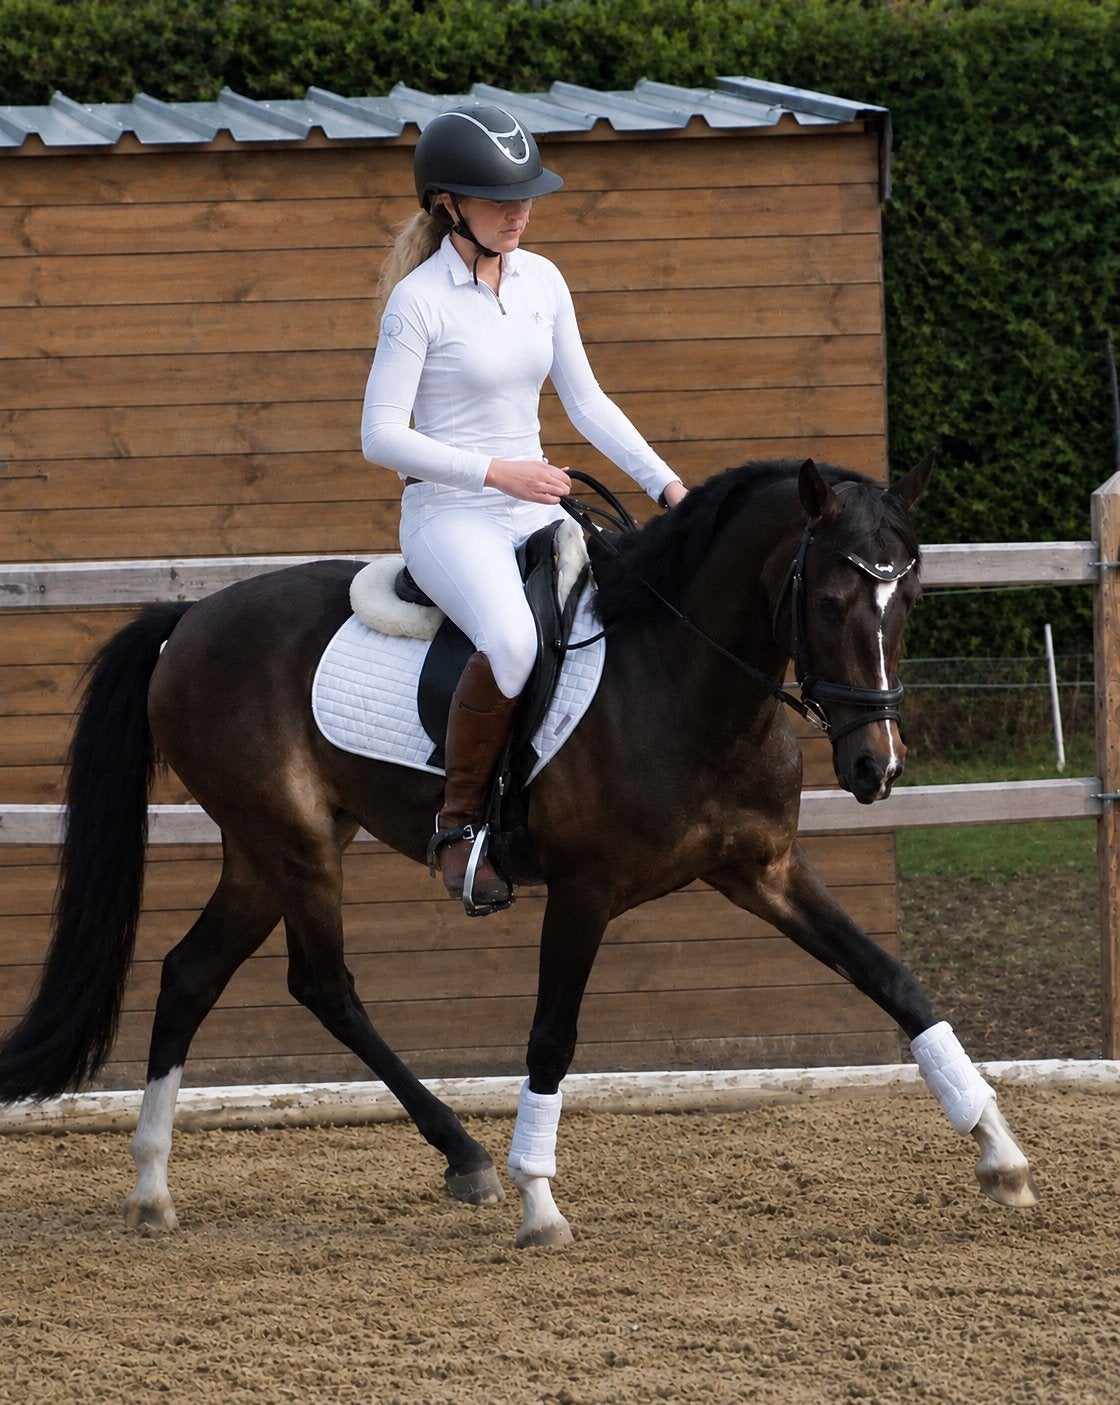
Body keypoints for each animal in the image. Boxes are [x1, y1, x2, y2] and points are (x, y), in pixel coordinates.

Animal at [0, 456, 1037, 1246]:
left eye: (909, 597)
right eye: (826, 599)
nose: (876, 766)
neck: (684, 681)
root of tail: (189, 622)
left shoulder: (765, 871)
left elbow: (892, 981)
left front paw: (999, 1149)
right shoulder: (585, 890)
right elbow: (551, 1034)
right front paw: (540, 1199)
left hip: (268, 851)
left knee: (189, 975)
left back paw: (152, 1186)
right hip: (291, 843)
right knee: (321, 984)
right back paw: (464, 1157)